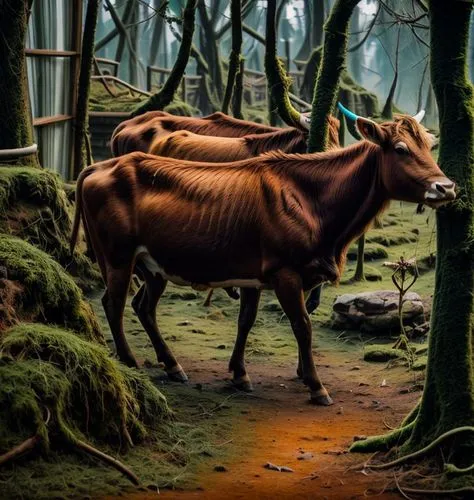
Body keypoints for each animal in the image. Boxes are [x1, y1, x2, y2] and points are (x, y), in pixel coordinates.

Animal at [73, 113, 456, 402]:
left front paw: (240, 374)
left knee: (143, 307)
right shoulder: (285, 273)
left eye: (428, 145)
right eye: (401, 148)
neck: (311, 200)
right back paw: (130, 361)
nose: (446, 187)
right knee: (113, 303)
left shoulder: (253, 276)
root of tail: (99, 167)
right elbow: (302, 325)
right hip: (118, 257)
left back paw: (172, 365)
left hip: (153, 266)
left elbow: (246, 321)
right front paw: (316, 386)